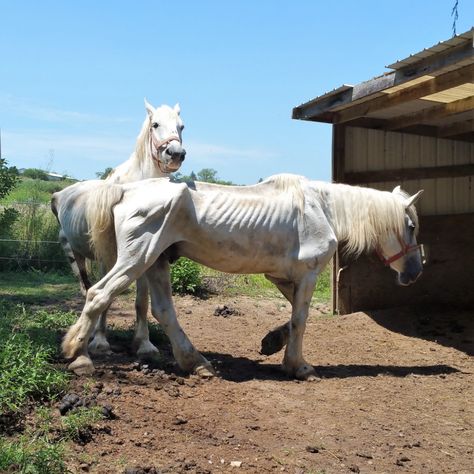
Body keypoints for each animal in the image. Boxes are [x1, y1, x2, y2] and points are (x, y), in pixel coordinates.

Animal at [51, 100, 185, 358]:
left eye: (181, 126)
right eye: (155, 124)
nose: (175, 153)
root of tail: (60, 195)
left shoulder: (144, 257)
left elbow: (141, 302)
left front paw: (144, 344)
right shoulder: (109, 257)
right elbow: (105, 298)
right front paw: (100, 342)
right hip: (75, 256)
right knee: (86, 289)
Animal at [62, 175, 422, 382]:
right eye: (411, 226)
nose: (416, 272)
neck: (322, 208)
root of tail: (124, 190)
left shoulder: (281, 276)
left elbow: (295, 318)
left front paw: (272, 343)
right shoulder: (307, 274)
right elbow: (301, 320)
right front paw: (299, 367)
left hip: (155, 262)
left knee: (163, 311)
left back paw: (196, 363)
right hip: (137, 258)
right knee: (97, 295)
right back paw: (79, 356)